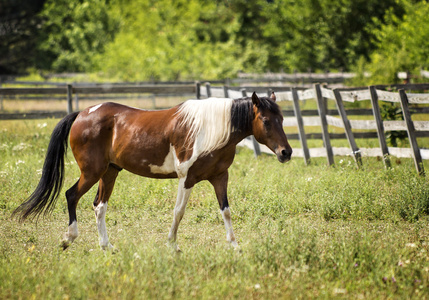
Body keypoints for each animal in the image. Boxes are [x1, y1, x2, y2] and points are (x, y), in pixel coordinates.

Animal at [15, 91, 292, 251]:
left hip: (110, 172)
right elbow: (179, 212)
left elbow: (226, 211)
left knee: (99, 206)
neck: (210, 129)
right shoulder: (187, 178)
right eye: (266, 121)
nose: (286, 153)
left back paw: (107, 247)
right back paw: (68, 239)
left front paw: (235, 247)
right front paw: (172, 246)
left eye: (281, 120)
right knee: (72, 196)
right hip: (92, 172)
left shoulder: (219, 177)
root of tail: (83, 113)